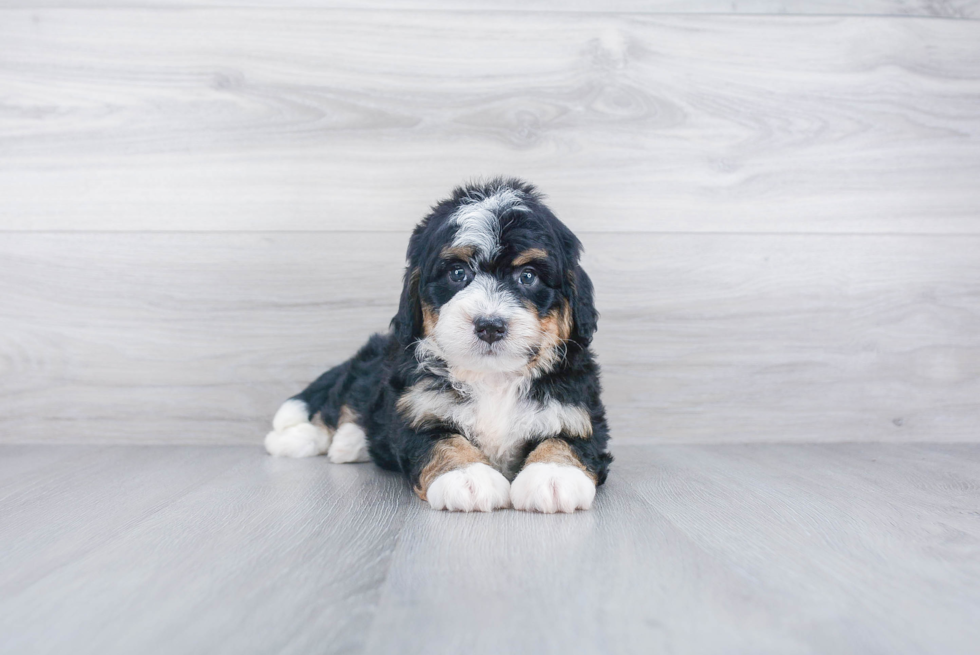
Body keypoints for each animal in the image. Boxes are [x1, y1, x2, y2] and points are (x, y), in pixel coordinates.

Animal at [264, 179, 608, 512]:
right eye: (457, 273)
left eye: (527, 276)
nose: (490, 325)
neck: (492, 377)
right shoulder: (418, 409)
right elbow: (441, 441)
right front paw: (468, 477)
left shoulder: (577, 408)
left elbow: (567, 439)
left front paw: (553, 475)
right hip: (370, 368)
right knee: (339, 406)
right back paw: (296, 439)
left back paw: (351, 442)